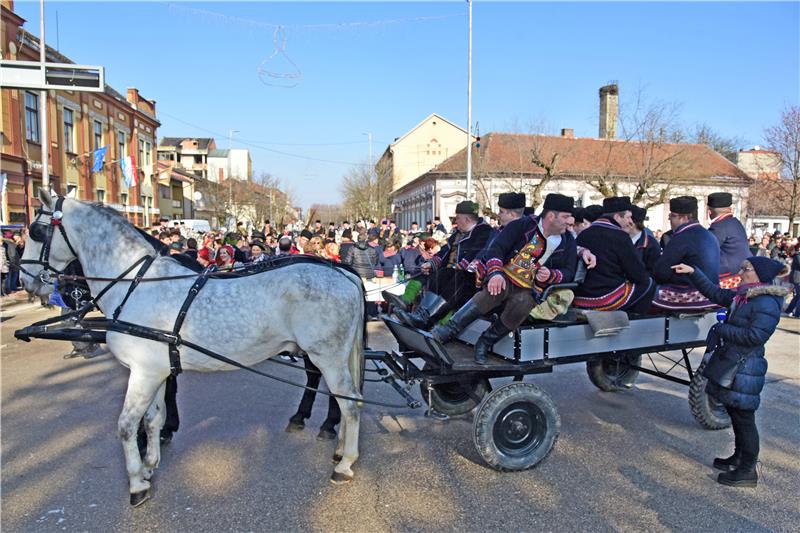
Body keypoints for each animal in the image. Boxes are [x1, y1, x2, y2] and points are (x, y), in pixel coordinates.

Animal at [21, 190, 366, 502]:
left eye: (36, 231)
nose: (26, 281)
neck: (136, 284)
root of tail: (344, 274)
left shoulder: (143, 372)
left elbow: (127, 425)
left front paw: (137, 484)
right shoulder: (156, 371)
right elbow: (152, 419)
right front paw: (149, 466)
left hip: (328, 357)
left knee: (349, 404)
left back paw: (344, 463)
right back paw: (338, 449)